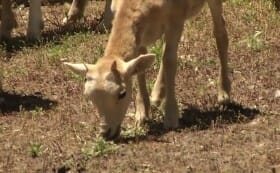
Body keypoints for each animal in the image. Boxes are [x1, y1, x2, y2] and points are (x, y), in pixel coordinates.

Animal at [64, 0, 231, 140]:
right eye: (89, 97)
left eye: (122, 94)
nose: (106, 134)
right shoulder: (140, 35)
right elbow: (141, 69)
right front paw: (142, 114)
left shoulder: (175, 21)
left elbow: (170, 62)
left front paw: (171, 116)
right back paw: (157, 94)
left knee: (220, 34)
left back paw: (224, 93)